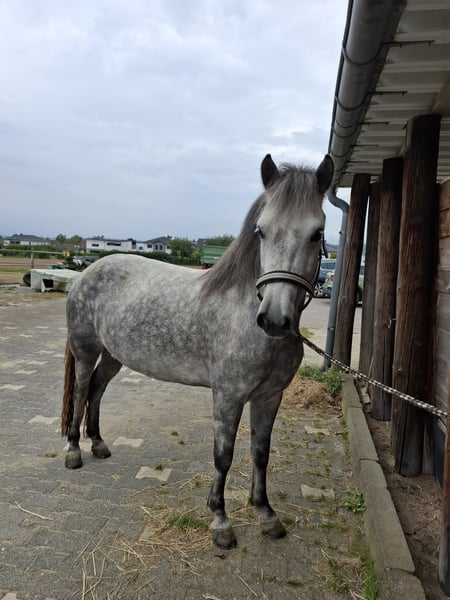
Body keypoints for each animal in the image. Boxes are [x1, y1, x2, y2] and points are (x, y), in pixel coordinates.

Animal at [61, 153, 334, 549]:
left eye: (317, 233)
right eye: (261, 231)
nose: (274, 319)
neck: (244, 313)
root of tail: (85, 272)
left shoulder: (269, 396)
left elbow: (261, 453)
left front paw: (266, 514)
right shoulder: (228, 395)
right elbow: (224, 455)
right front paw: (220, 520)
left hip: (113, 356)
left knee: (97, 389)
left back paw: (97, 443)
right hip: (85, 349)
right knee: (82, 390)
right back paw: (73, 451)